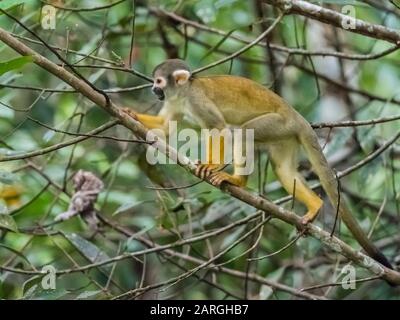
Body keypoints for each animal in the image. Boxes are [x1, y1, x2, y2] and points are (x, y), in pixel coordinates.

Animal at [123, 59, 392, 268]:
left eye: (159, 81)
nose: (153, 89)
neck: (183, 93)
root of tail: (298, 117)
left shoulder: (197, 100)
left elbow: (219, 128)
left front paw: (211, 166)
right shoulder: (174, 102)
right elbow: (166, 127)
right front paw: (130, 114)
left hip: (278, 123)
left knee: (244, 132)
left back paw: (237, 180)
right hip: (285, 135)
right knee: (282, 169)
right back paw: (315, 206)